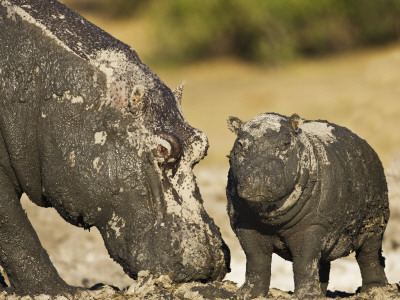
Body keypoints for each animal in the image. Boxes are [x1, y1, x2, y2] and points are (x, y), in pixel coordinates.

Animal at [227, 113, 390, 300]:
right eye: (239, 144)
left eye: (285, 143)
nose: (258, 177)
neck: (270, 219)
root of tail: (368, 146)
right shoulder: (244, 224)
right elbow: (255, 259)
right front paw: (246, 294)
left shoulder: (312, 225)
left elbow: (304, 260)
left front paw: (304, 296)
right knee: (323, 264)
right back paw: (322, 292)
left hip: (375, 225)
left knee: (369, 256)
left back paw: (375, 290)